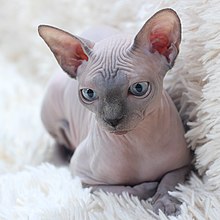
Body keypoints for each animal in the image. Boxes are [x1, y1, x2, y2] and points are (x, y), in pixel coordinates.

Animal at [38, 8, 192, 215]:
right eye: (89, 93)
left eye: (139, 88)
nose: (112, 120)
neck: (138, 143)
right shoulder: (85, 179)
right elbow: (123, 191)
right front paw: (149, 188)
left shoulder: (184, 164)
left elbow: (169, 181)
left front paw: (166, 203)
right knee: (58, 140)